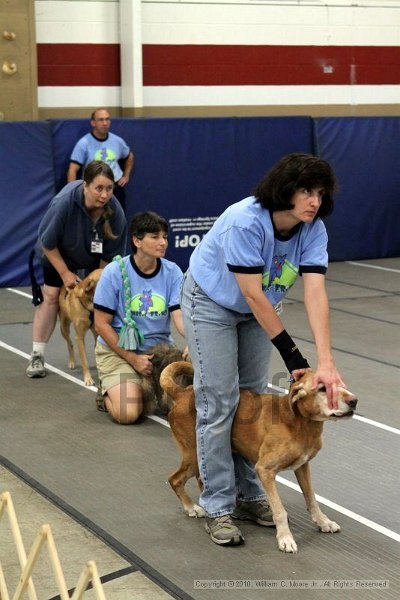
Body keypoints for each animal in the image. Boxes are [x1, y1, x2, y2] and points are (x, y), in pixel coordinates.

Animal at [161, 360, 358, 552]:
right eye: (323, 388)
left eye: (341, 385)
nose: (354, 400)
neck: (300, 423)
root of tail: (182, 393)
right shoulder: (265, 470)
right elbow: (280, 511)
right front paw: (285, 538)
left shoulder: (303, 466)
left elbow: (312, 499)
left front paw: (323, 522)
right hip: (194, 455)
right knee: (175, 479)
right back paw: (192, 508)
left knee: (201, 480)